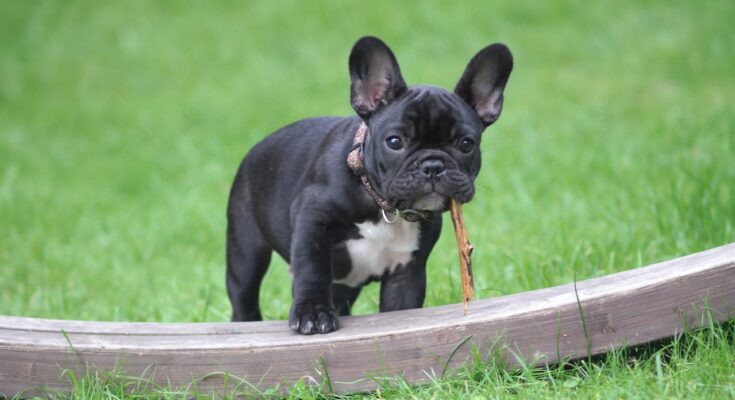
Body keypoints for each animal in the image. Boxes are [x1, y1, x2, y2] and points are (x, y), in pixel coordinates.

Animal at [227, 35, 516, 334]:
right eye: (394, 142)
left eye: (467, 144)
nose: (433, 165)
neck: (383, 205)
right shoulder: (312, 218)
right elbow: (312, 268)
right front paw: (313, 312)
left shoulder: (406, 273)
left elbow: (402, 308)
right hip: (246, 250)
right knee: (244, 295)